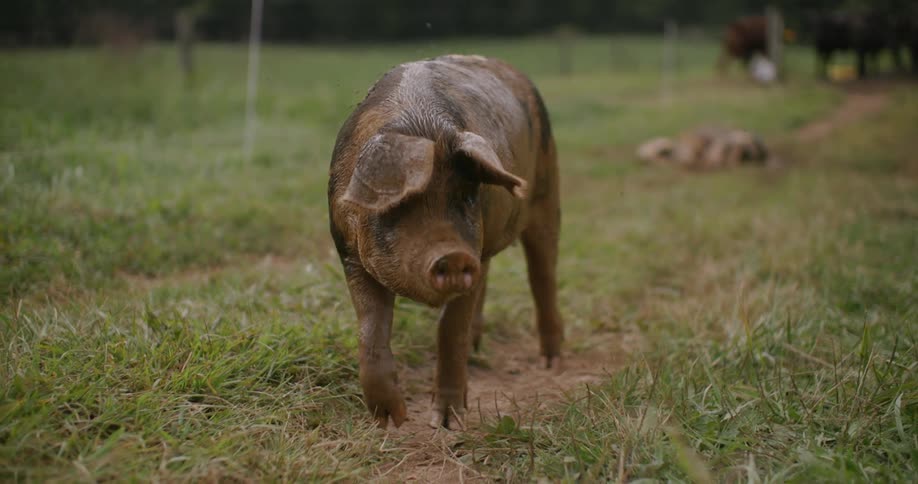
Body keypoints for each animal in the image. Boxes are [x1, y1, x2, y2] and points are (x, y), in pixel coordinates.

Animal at [327, 55, 562, 430]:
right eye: (400, 202)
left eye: (466, 197)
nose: (453, 255)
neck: (423, 127)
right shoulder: (349, 254)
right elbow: (371, 330)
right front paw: (392, 421)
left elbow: (450, 327)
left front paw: (446, 422)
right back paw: (477, 349)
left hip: (546, 191)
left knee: (543, 276)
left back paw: (551, 363)